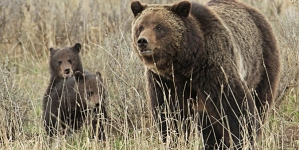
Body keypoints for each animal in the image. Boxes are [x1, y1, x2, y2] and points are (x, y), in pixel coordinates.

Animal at [131, 0, 282, 148]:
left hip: (261, 63)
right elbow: (169, 112)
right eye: (140, 27)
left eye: (159, 27)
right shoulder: (163, 80)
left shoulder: (212, 67)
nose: (142, 41)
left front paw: (243, 139)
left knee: (261, 101)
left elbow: (234, 105)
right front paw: (175, 139)